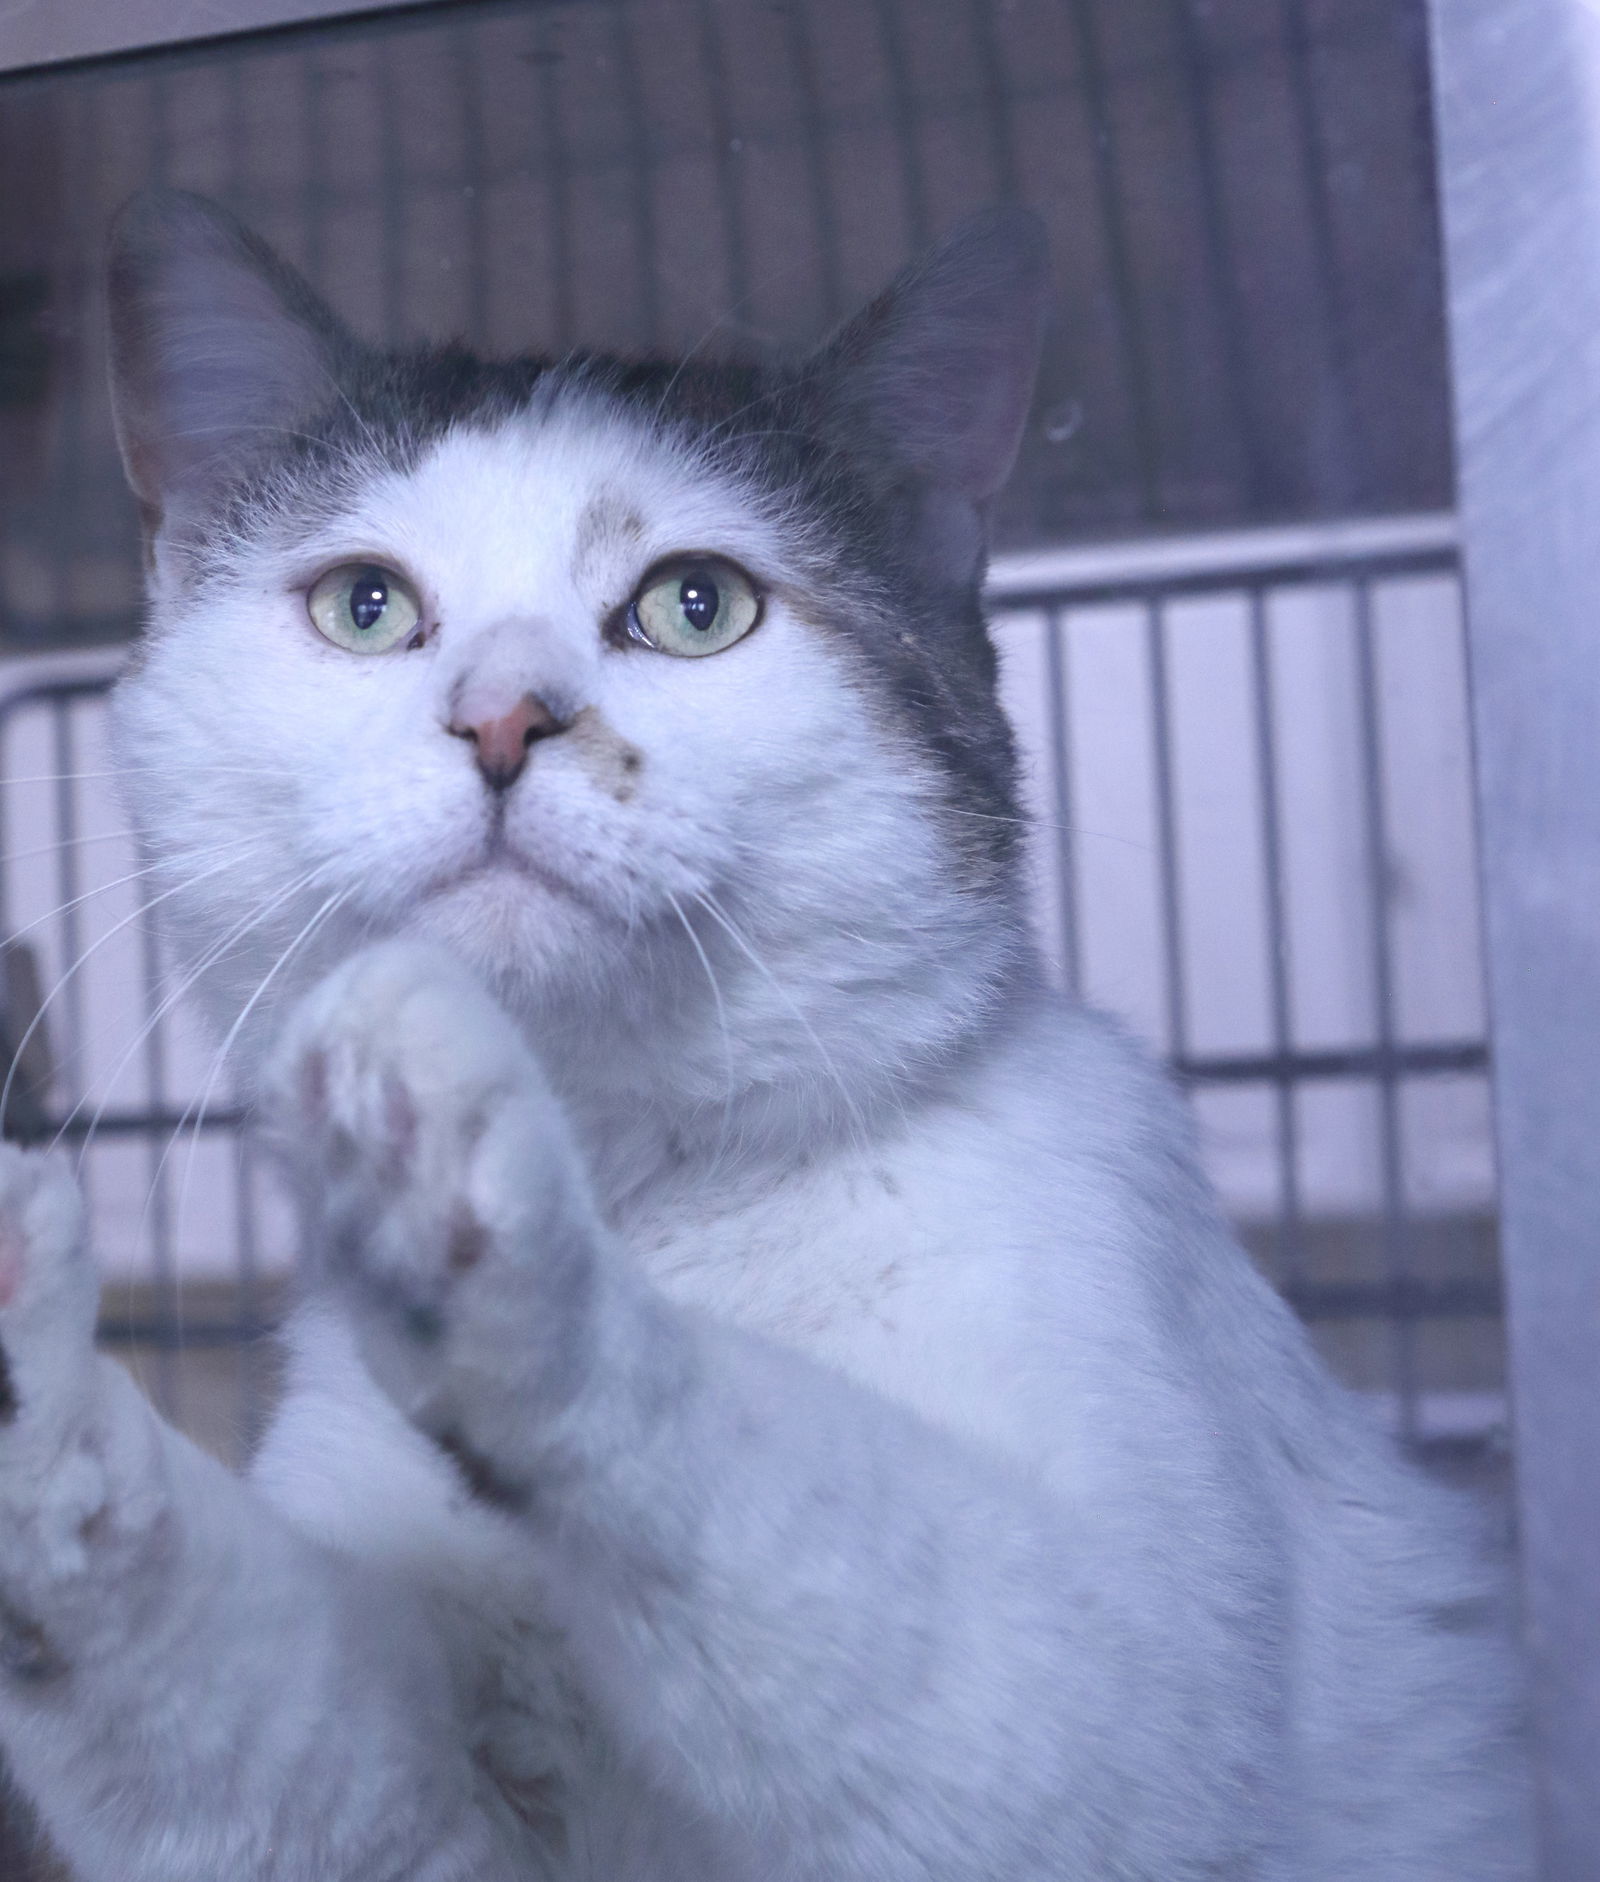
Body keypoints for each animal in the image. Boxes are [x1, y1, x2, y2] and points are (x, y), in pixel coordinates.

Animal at [0, 179, 1528, 1882]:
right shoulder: (437, 1822)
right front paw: (34, 1387)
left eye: (695, 603)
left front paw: (496, 1229)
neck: (660, 1192)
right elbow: (247, 1707)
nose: (503, 718)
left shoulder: (1125, 1706)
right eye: (366, 604)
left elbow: (799, 1494)